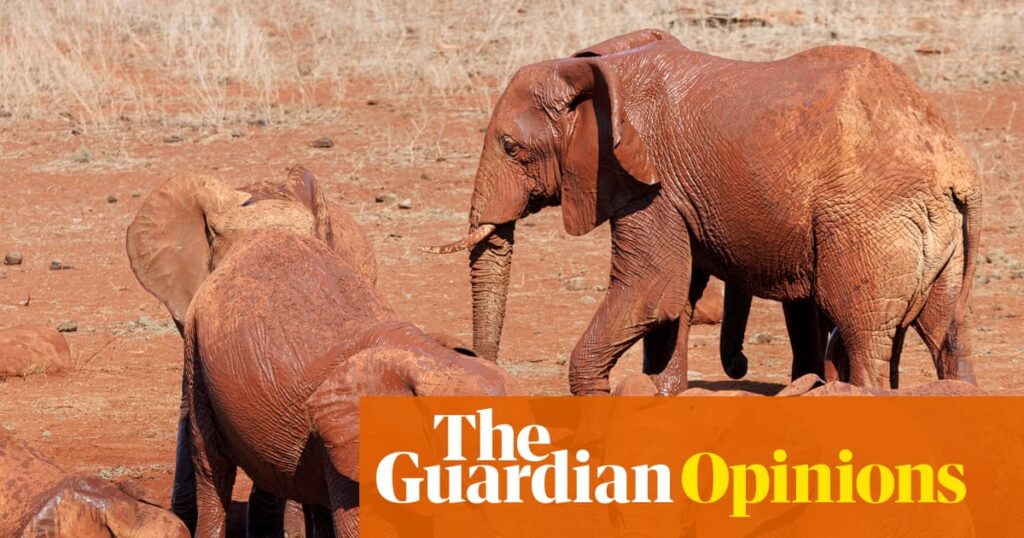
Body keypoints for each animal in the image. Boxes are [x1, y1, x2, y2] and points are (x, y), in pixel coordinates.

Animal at [426, 29, 980, 395]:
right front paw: (663, 393)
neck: (593, 68)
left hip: (869, 223)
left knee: (865, 333)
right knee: (945, 332)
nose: (488, 371)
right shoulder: (673, 194)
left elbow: (651, 290)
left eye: (510, 148)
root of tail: (957, 170)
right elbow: (675, 300)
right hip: (934, 236)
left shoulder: (649, 184)